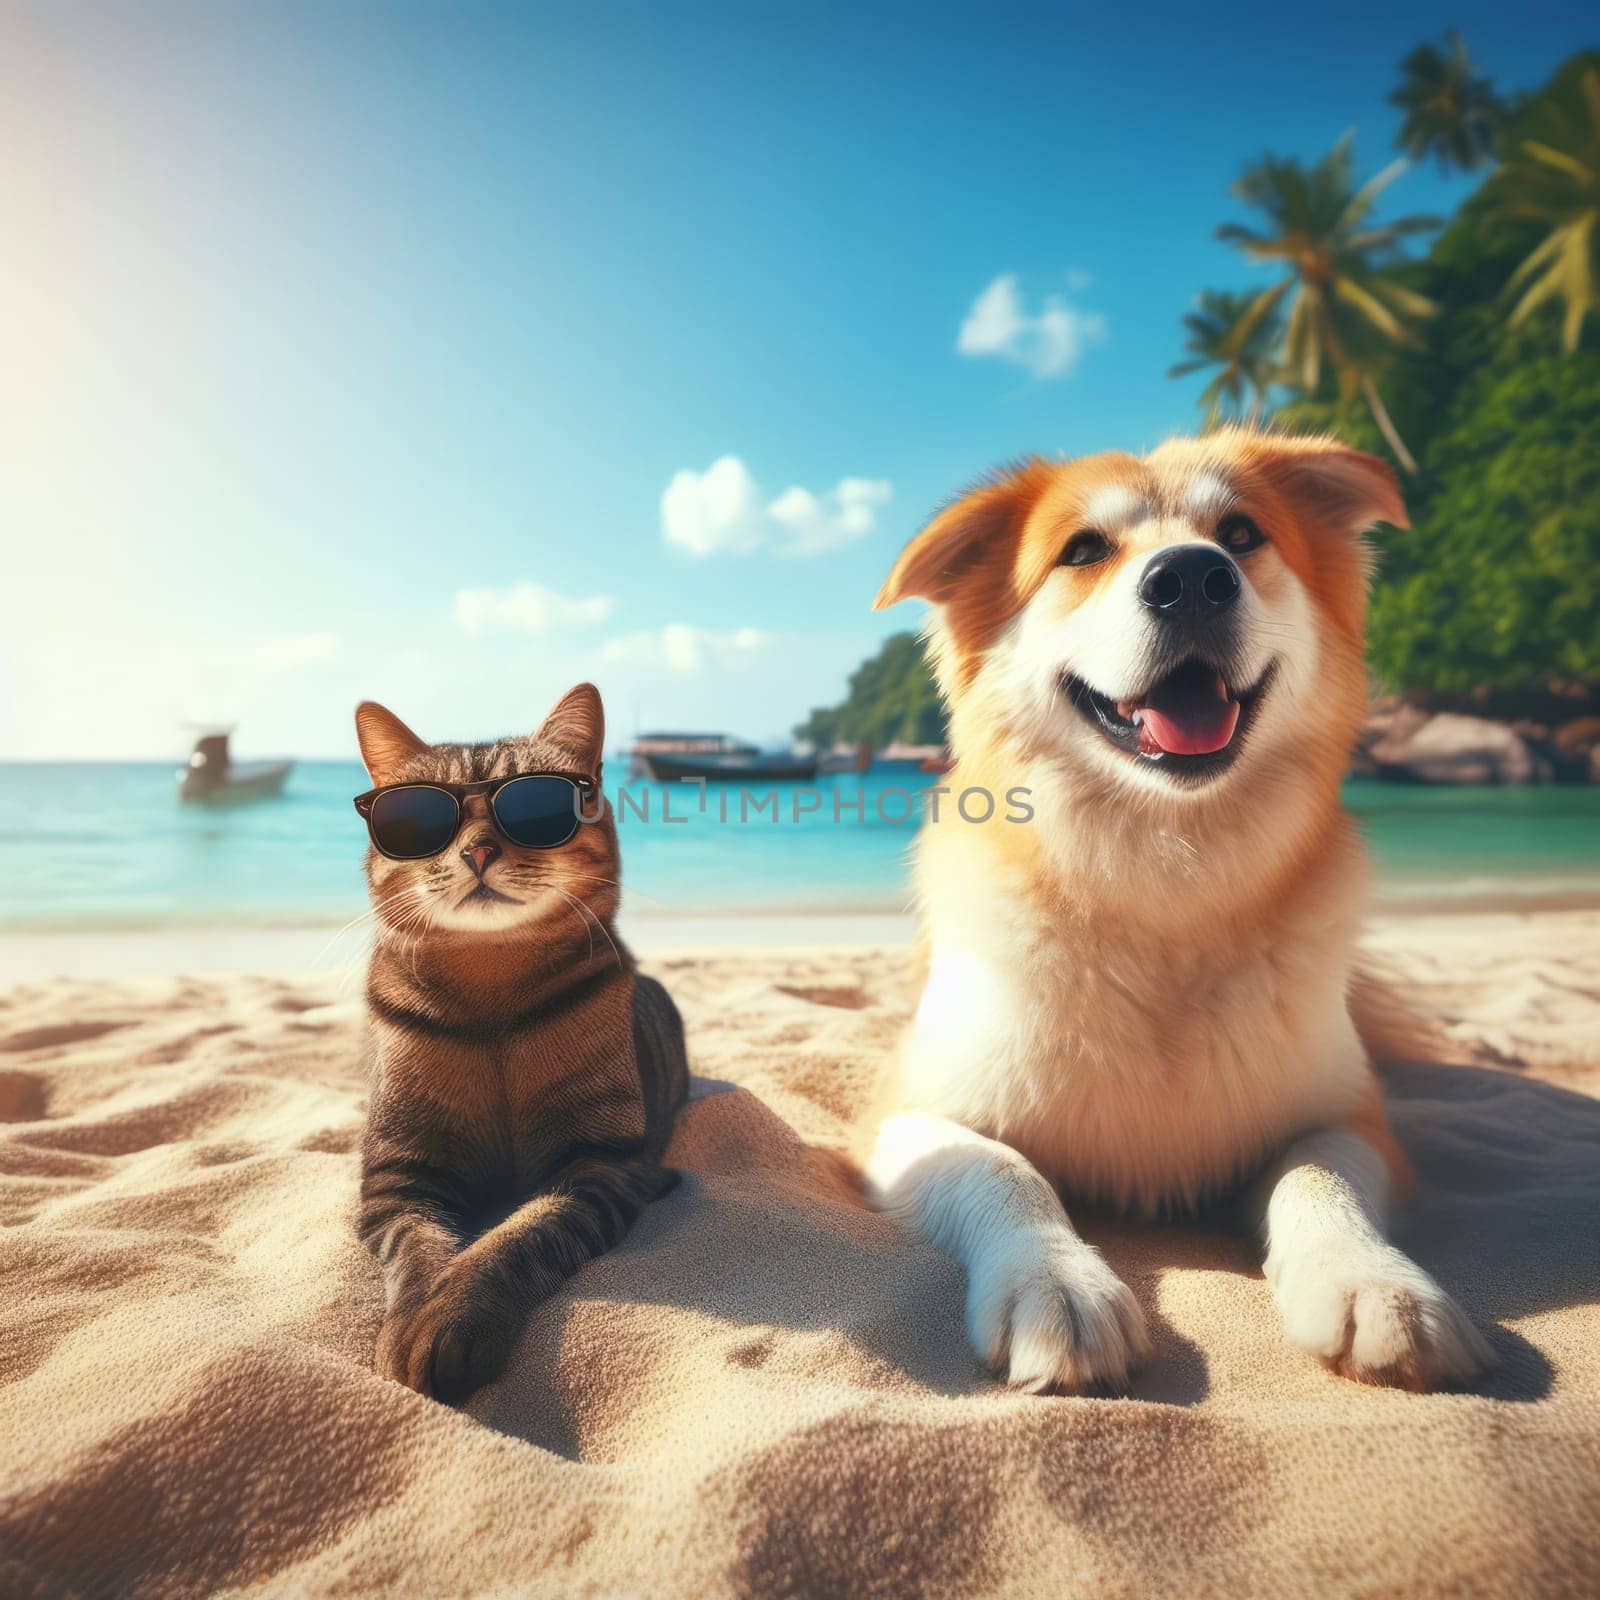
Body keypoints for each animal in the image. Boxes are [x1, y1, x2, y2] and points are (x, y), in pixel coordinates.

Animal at [353, 681, 684, 1408]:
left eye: (535, 804)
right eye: (421, 817)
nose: (477, 850)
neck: (491, 999)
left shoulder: (597, 1162)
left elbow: (519, 1235)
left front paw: (451, 1315)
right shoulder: (399, 1174)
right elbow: (419, 1249)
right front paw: (415, 1316)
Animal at [870, 432, 1491, 1395]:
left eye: (1240, 534)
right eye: (1083, 550)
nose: (1193, 578)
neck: (1164, 891)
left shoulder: (1348, 1118)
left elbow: (1320, 1177)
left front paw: (1373, 1284)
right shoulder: (912, 1112)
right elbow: (1002, 1171)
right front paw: (1055, 1285)